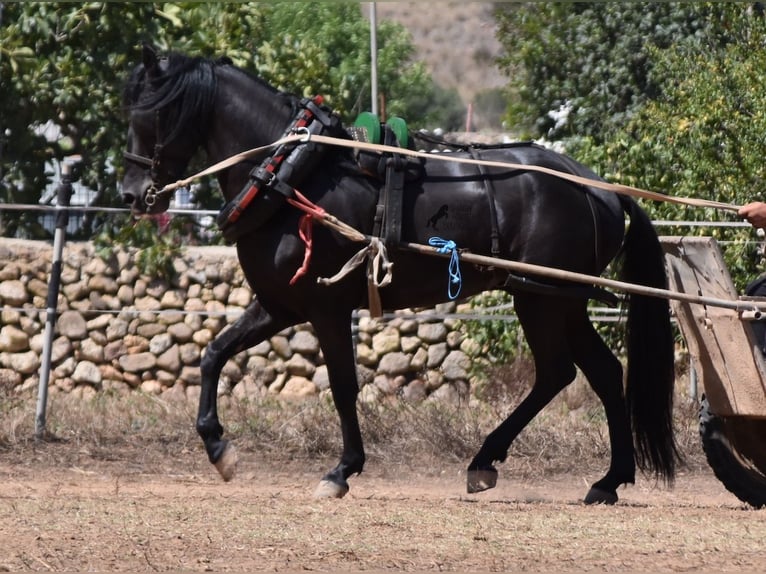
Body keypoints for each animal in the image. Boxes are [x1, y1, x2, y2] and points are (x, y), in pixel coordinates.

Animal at [120, 46, 680, 504]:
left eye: (150, 113)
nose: (131, 194)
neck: (293, 174)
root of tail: (599, 187)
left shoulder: (326, 307)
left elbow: (343, 385)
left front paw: (342, 470)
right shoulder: (279, 305)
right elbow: (213, 354)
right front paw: (218, 447)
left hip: (545, 298)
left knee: (560, 372)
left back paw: (500, 463)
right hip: (558, 299)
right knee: (595, 372)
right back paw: (604, 480)